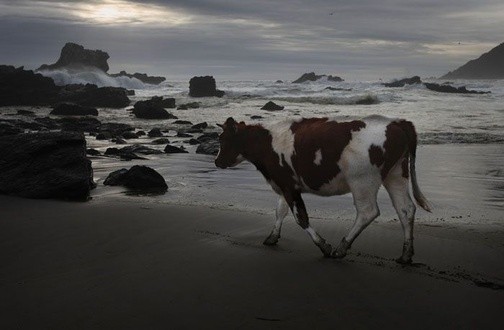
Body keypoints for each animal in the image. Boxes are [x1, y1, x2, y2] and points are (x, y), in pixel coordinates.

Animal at [215, 114, 432, 264]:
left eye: (223, 140)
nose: (217, 161)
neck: (266, 142)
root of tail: (396, 122)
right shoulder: (286, 184)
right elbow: (280, 211)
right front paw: (272, 237)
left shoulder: (287, 185)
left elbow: (301, 218)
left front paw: (324, 246)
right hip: (396, 174)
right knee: (405, 209)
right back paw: (405, 255)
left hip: (362, 181)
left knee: (368, 212)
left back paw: (341, 248)